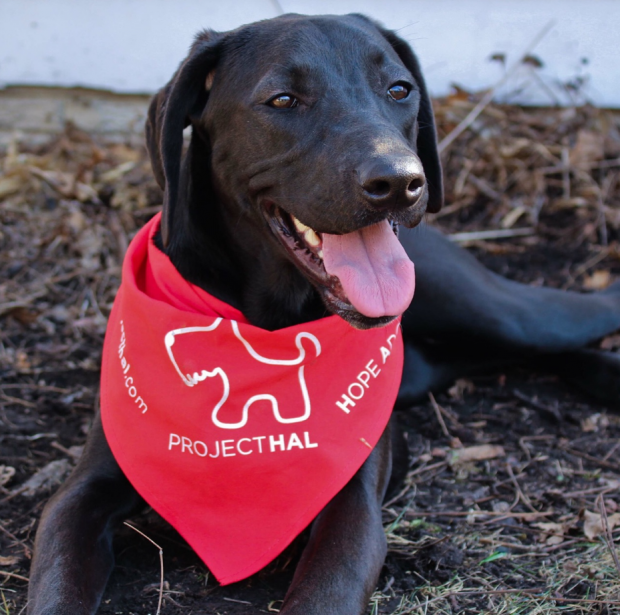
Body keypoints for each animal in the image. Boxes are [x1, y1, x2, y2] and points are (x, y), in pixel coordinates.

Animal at [26, 14, 620, 615]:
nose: (401, 182)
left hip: (502, 313)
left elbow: (325, 589)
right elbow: (57, 580)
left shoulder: (352, 504)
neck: (266, 324)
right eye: (284, 99)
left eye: (399, 90)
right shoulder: (82, 492)